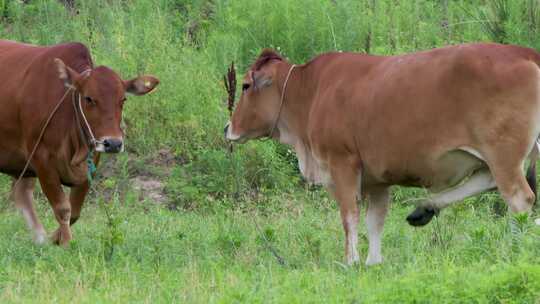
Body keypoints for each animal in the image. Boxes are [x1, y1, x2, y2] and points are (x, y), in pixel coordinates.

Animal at [0, 39, 159, 245]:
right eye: (89, 98)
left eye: (123, 99)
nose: (113, 143)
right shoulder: (41, 160)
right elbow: (63, 208)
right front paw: (66, 242)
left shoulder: (91, 160)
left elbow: (75, 212)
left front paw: (54, 239)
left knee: (21, 193)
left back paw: (41, 239)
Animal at [225, 43, 540, 266]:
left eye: (245, 85)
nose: (228, 128)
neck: (311, 91)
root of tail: (524, 52)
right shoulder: (377, 180)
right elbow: (374, 220)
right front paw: (373, 261)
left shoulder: (342, 163)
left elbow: (349, 215)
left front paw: (351, 261)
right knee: (489, 181)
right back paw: (425, 208)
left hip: (503, 155)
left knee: (519, 198)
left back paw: (515, 247)